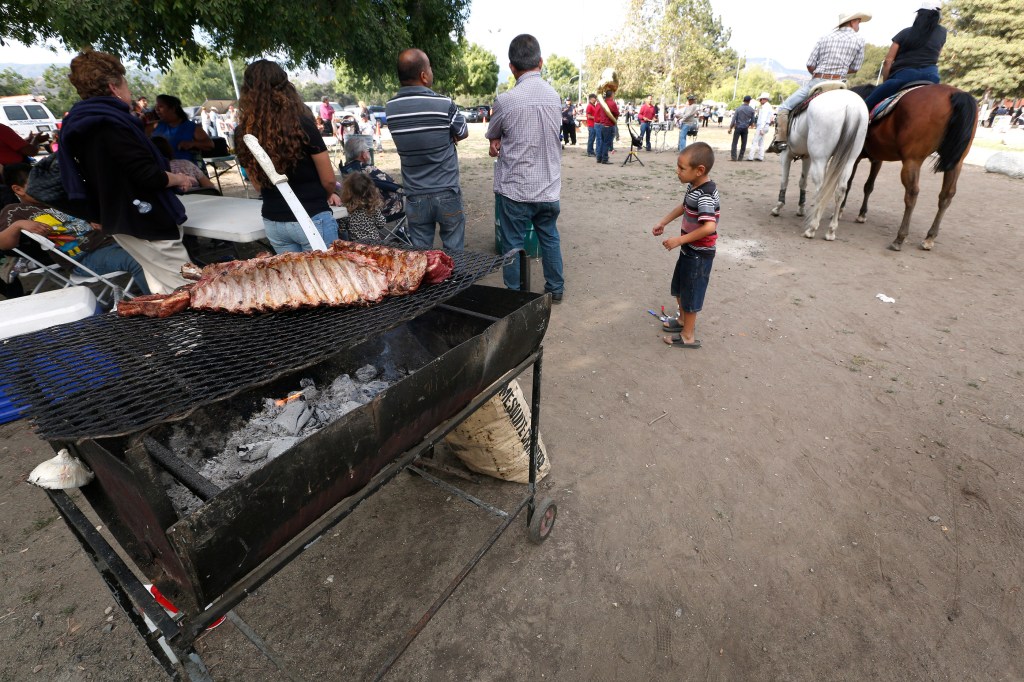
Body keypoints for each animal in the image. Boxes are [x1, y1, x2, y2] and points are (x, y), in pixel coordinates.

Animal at [770, 88, 868, 238]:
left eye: (775, 122)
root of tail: (852, 107)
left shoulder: (786, 155)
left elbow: (784, 180)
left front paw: (778, 207)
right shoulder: (807, 157)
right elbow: (802, 182)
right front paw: (801, 208)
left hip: (820, 159)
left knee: (821, 188)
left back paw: (812, 228)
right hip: (849, 160)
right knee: (841, 190)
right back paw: (831, 230)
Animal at [843, 84, 978, 249]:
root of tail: (954, 93)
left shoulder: (855, 156)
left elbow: (849, 183)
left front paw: (841, 209)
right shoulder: (877, 160)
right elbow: (868, 186)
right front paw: (862, 214)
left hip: (912, 160)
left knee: (912, 193)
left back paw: (899, 238)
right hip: (956, 162)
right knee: (946, 195)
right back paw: (930, 237)